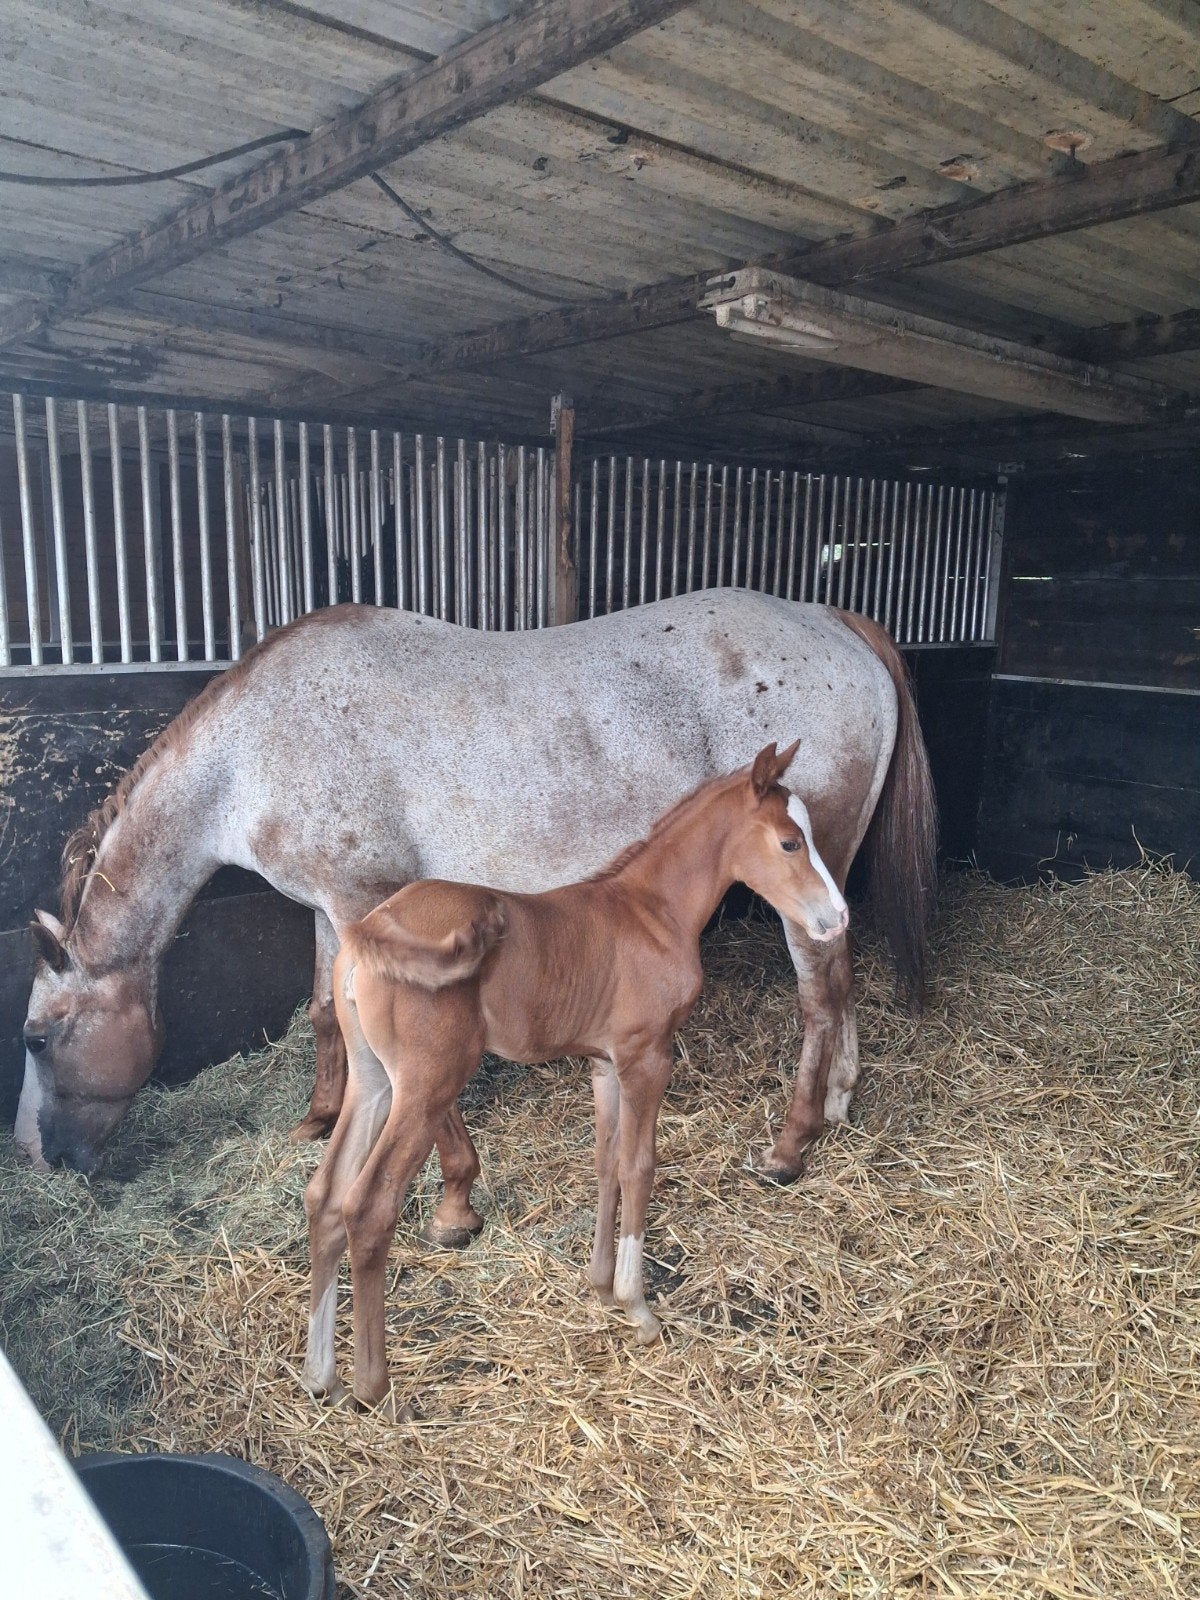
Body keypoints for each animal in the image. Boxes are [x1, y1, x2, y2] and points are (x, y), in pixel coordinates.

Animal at [17, 588, 935, 1190]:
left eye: (34, 1038)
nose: (42, 1155)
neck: (251, 753)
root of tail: (834, 623)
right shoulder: (329, 906)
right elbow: (324, 1013)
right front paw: (319, 1119)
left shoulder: (365, 905)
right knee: (842, 984)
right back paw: (841, 1100)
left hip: (801, 887)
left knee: (820, 998)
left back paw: (792, 1146)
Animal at [304, 741, 847, 1407]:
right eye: (791, 843)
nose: (838, 917)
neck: (652, 912)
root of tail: (367, 930)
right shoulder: (647, 1056)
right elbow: (640, 1166)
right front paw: (638, 1309)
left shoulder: (605, 1064)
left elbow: (607, 1162)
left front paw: (599, 1285)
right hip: (425, 1085)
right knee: (367, 1206)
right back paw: (373, 1386)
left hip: (374, 1081)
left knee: (325, 1197)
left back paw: (321, 1375)